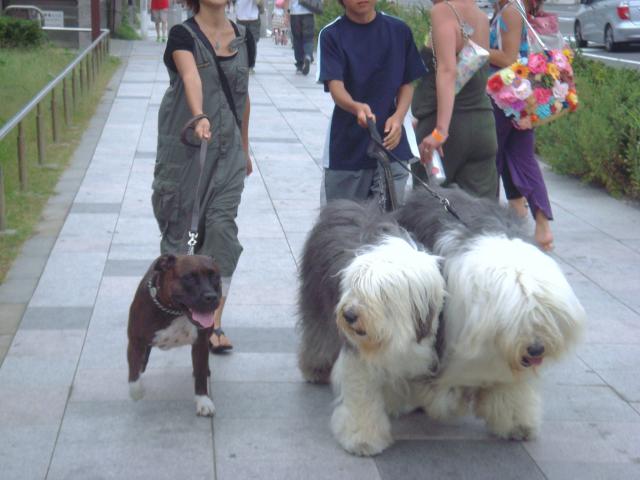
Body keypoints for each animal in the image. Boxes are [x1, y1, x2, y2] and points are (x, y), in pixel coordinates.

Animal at [127, 253, 221, 416]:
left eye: (215, 276)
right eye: (189, 277)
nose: (211, 297)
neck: (174, 311)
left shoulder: (200, 343)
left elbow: (200, 373)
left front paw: (203, 400)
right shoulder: (135, 341)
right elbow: (133, 373)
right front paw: (137, 392)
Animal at [298, 200, 446, 455]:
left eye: (381, 294)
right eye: (352, 286)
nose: (349, 314)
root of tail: (342, 203)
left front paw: (396, 402)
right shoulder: (358, 357)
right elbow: (363, 395)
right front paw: (363, 440)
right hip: (317, 300)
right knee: (318, 335)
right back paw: (315, 369)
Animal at [395, 187, 586, 440]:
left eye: (546, 316)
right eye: (517, 320)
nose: (536, 349)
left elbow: (508, 385)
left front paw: (516, 422)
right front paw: (443, 399)